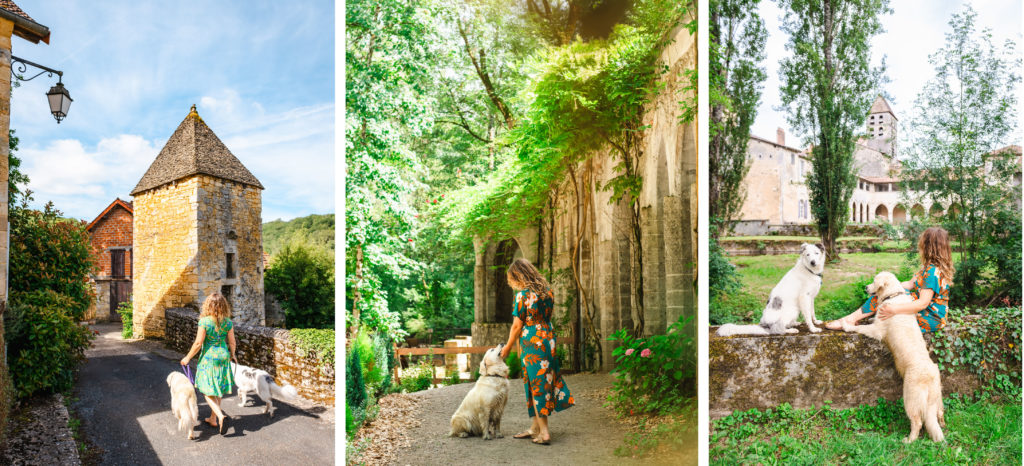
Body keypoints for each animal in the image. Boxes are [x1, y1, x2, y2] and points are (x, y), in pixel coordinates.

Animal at [843, 272, 946, 442]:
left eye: (874, 281)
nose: (866, 287)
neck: (893, 295)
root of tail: (930, 376)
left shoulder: (876, 330)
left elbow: (860, 327)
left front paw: (846, 325)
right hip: (937, 397)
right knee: (940, 413)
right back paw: (942, 424)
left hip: (910, 398)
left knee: (918, 422)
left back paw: (909, 440)